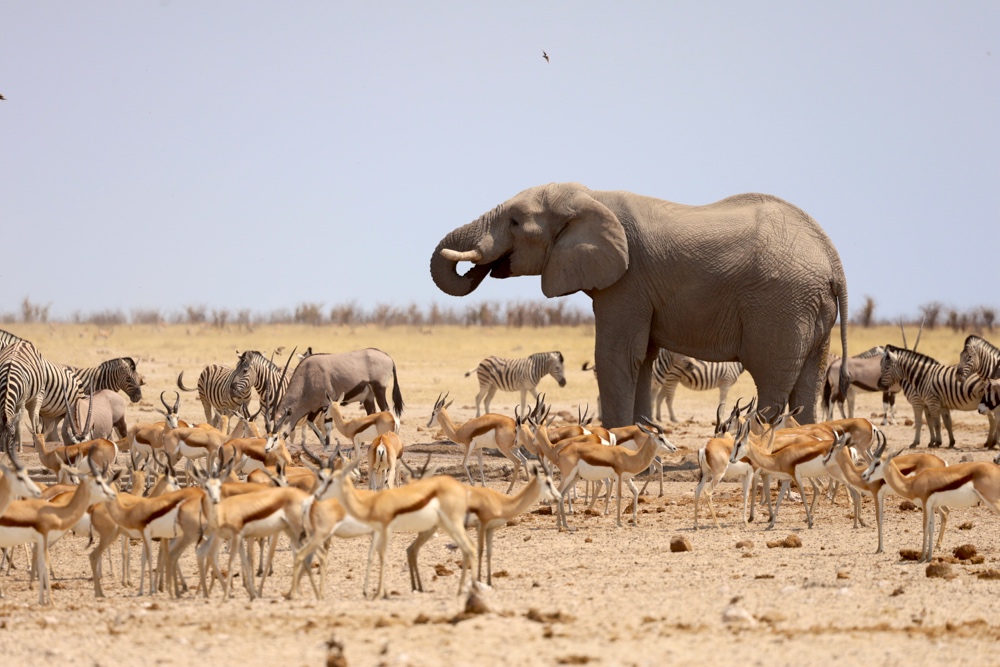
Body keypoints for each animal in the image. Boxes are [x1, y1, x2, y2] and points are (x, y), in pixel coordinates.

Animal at [430, 182, 849, 427]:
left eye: (515, 222)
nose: (480, 266)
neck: (591, 197)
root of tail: (833, 259)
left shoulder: (628, 281)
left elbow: (615, 355)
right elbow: (642, 359)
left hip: (781, 303)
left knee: (772, 380)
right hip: (809, 308)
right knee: (808, 380)